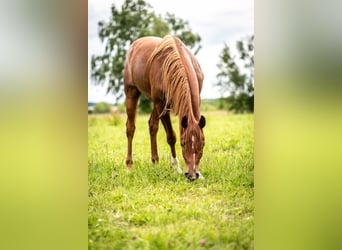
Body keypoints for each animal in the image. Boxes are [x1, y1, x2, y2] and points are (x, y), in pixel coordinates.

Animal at [124, 34, 207, 180]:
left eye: (202, 144)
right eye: (182, 143)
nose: (192, 175)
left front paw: (200, 174)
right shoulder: (162, 105)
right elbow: (171, 136)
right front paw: (176, 167)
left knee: (152, 125)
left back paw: (155, 162)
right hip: (132, 93)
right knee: (130, 128)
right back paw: (129, 166)